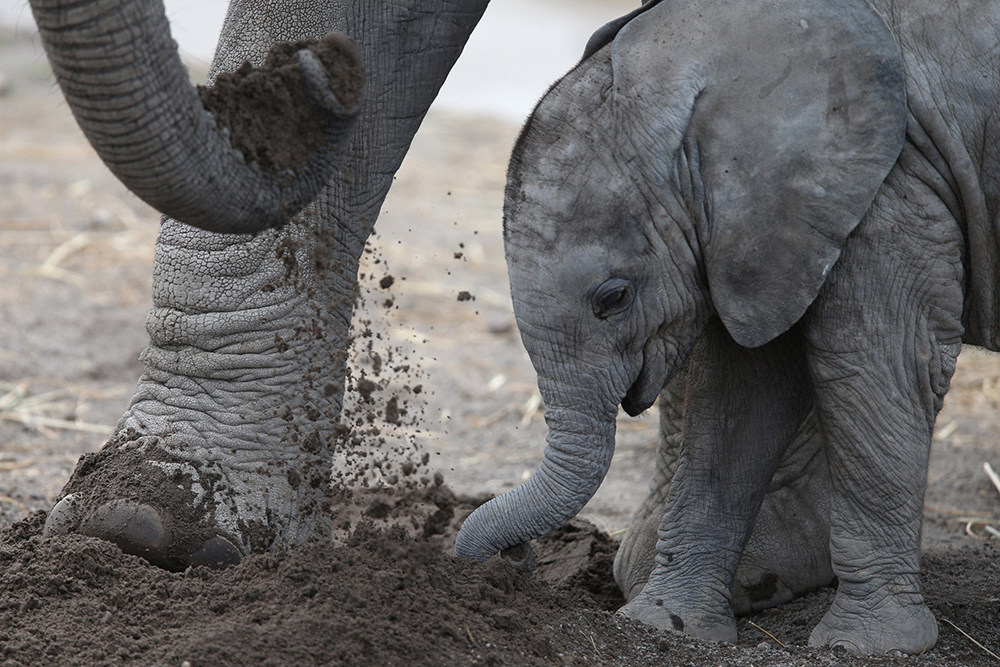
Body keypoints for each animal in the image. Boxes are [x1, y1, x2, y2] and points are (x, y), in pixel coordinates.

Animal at [455, 0, 1000, 657]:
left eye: (613, 298)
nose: (515, 557)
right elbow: (742, 391)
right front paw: (661, 624)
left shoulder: (895, 190)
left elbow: (876, 361)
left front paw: (865, 647)